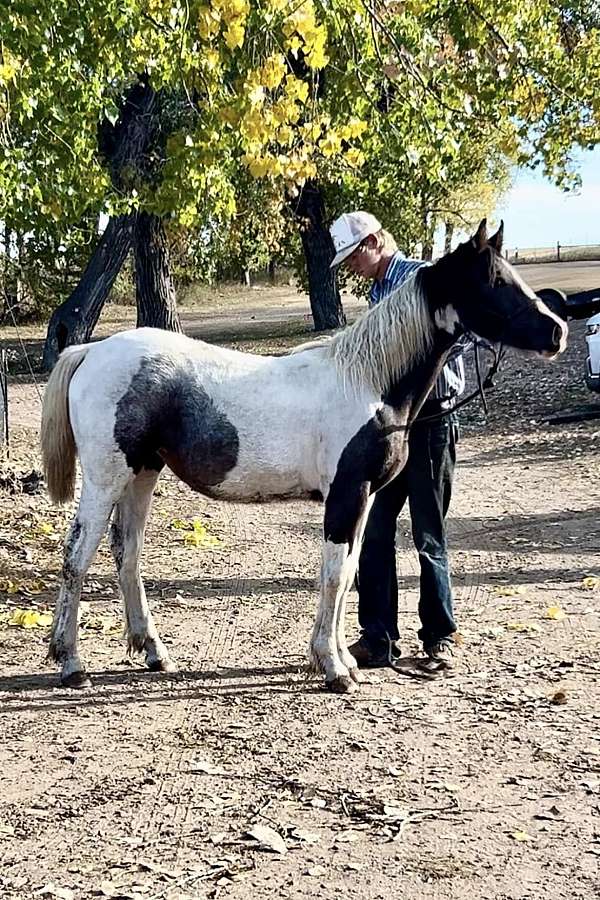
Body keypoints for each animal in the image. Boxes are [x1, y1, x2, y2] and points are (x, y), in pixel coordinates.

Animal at [41, 221, 568, 692]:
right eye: (494, 280)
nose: (557, 331)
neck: (367, 383)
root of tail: (90, 352)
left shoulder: (364, 500)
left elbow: (349, 572)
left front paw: (343, 660)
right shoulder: (347, 496)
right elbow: (334, 575)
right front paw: (333, 669)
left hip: (143, 473)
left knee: (126, 553)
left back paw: (153, 651)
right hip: (106, 478)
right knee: (77, 555)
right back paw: (70, 662)